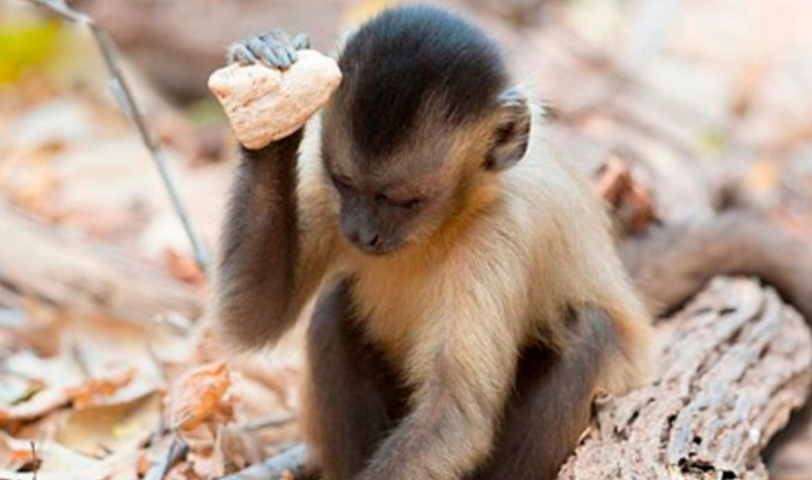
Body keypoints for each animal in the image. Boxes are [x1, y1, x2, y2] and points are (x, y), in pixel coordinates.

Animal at [214, 5, 812, 480]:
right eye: (347, 185)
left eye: (404, 200)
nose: (362, 232)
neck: (451, 218)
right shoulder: (324, 191)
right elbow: (255, 316)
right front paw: (271, 102)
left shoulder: (500, 234)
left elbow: (454, 417)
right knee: (335, 309)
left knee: (590, 331)